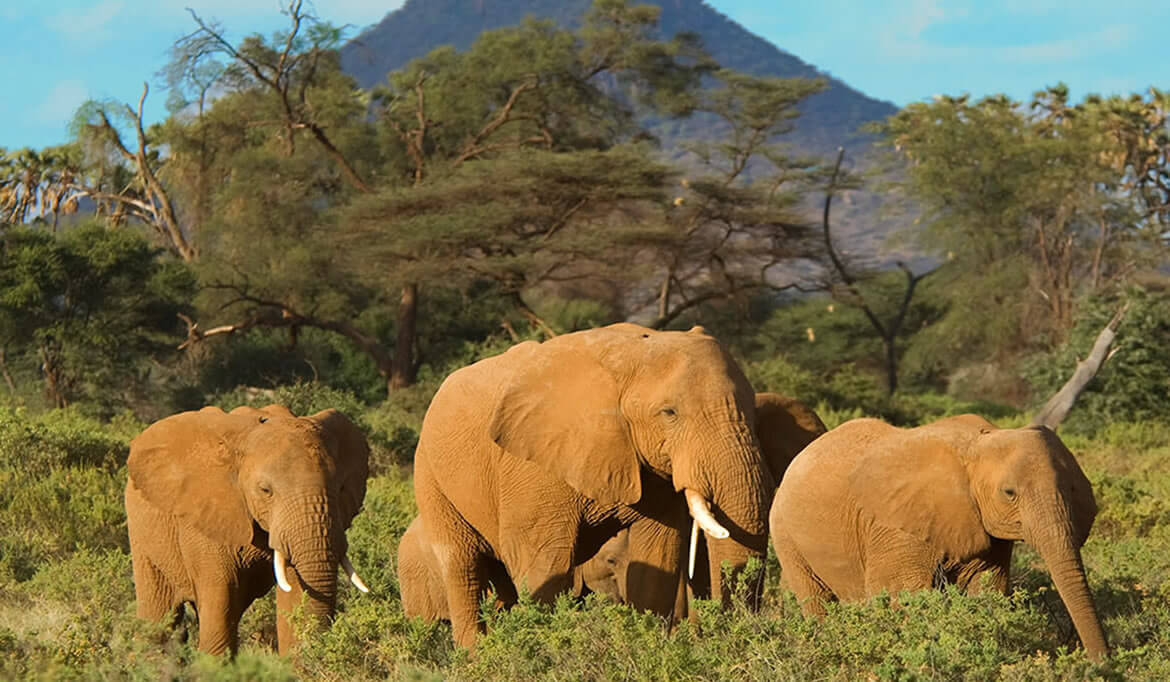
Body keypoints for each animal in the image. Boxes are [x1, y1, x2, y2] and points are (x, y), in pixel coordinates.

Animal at [124, 404, 369, 655]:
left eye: (340, 488)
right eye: (265, 490)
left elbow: (296, 592)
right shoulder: (206, 519)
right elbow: (220, 600)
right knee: (158, 618)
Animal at [414, 322, 776, 650]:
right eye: (669, 413)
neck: (631, 355)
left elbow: (656, 557)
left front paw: (645, 647)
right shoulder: (533, 465)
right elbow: (544, 565)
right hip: (430, 473)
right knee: (463, 569)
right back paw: (475, 657)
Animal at [772, 416, 1109, 659]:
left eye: (1072, 489)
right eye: (1009, 493)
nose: (1102, 663)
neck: (979, 442)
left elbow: (988, 589)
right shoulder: (896, 528)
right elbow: (902, 596)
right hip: (785, 533)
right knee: (816, 602)